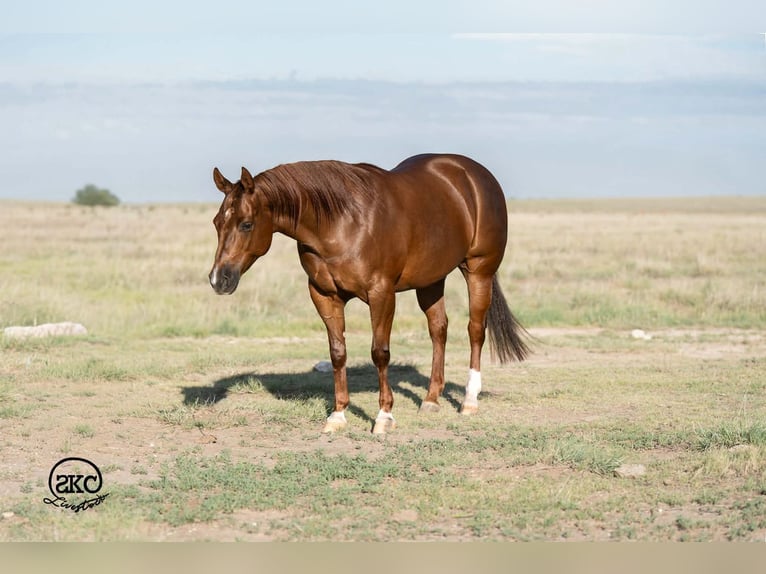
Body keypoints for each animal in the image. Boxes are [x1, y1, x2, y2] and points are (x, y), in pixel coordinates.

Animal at [208, 153, 529, 434]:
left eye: (246, 224)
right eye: (217, 223)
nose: (218, 280)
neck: (341, 222)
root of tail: (476, 175)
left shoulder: (381, 293)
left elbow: (380, 352)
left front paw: (384, 416)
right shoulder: (324, 295)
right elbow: (338, 353)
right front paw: (337, 415)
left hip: (479, 271)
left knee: (475, 329)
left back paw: (469, 401)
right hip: (431, 279)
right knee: (439, 329)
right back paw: (430, 399)